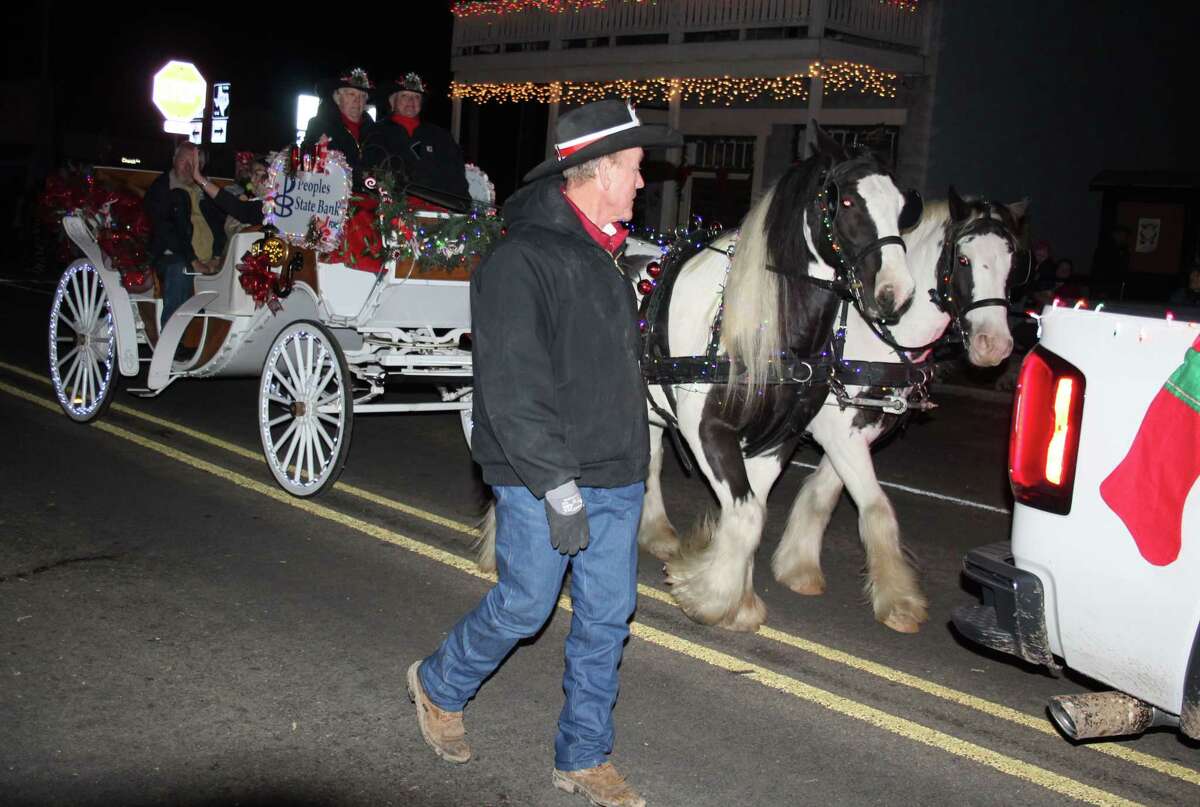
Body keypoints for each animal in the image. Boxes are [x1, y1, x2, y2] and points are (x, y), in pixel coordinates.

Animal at [643, 186, 1027, 634]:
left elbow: (826, 494)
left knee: (651, 457)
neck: (871, 335)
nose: (994, 345)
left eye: (1013, 265)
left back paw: (656, 532)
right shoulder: (837, 430)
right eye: (963, 259)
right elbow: (876, 506)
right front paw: (899, 600)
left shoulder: (859, 428)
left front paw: (798, 567)